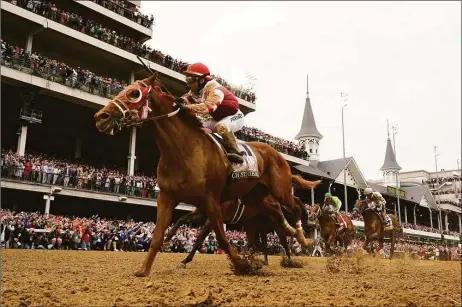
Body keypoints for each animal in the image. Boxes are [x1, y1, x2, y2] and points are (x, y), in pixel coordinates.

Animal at [94, 76, 316, 278]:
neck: (183, 151)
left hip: (280, 189)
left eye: (134, 93)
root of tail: (276, 152)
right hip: (255, 198)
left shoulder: (211, 202)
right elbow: (159, 234)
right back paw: (291, 234)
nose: (100, 116)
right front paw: (144, 269)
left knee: (294, 206)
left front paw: (243, 265)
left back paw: (302, 240)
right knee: (276, 215)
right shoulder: (167, 197)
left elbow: (220, 238)